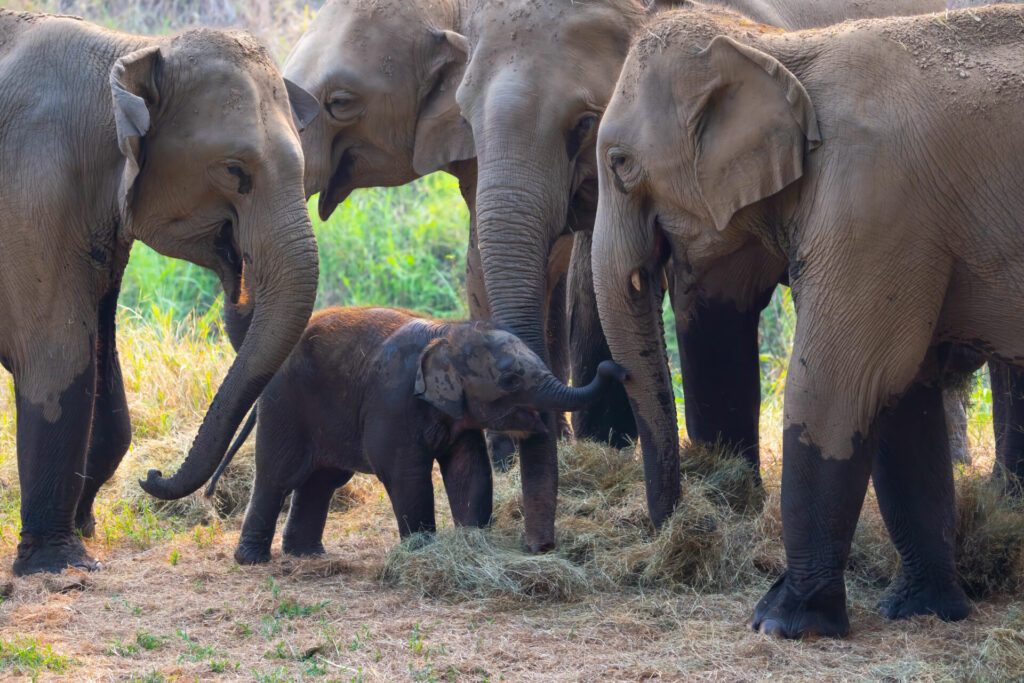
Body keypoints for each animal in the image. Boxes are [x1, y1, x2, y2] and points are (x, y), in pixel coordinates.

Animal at [0, 12, 319, 577]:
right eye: (234, 170)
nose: (152, 475)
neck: (128, 52)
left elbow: (98, 358)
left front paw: (83, 528)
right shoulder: (29, 184)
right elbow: (56, 357)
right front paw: (61, 567)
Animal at [220, 307, 622, 565]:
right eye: (510, 380)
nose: (614, 367)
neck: (448, 332)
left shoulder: (458, 414)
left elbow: (469, 470)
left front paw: (471, 544)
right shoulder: (393, 401)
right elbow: (406, 475)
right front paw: (422, 553)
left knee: (323, 480)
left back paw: (307, 555)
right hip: (284, 405)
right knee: (278, 475)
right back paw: (252, 560)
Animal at [593, 2, 1024, 638]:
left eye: (620, 164)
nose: (673, 528)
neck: (779, 50)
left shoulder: (875, 203)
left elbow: (838, 383)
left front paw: (782, 621)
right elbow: (902, 395)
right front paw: (919, 609)